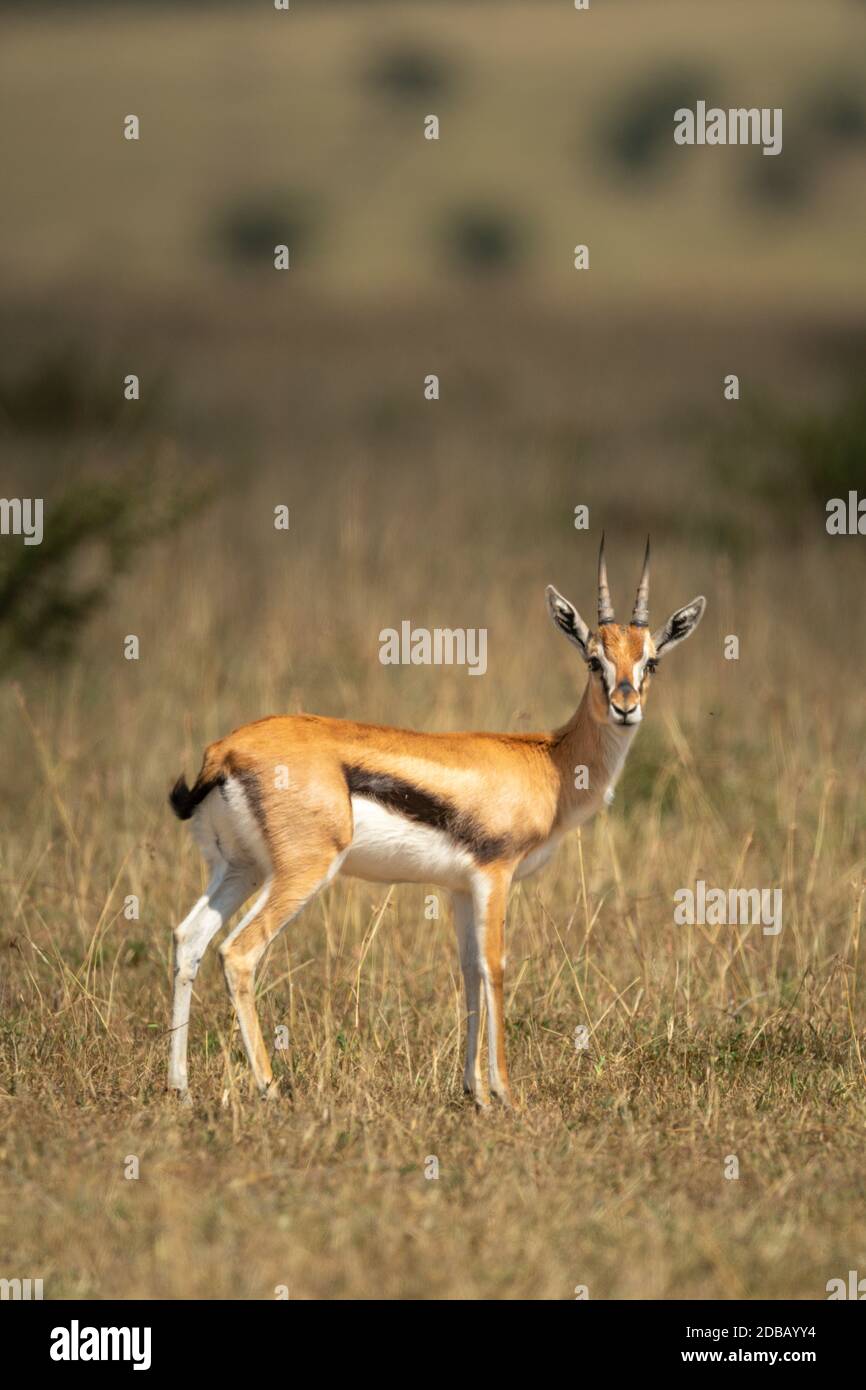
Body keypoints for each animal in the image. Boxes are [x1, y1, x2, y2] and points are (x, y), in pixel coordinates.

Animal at [167, 539, 705, 1107]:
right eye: (593, 659)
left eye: (650, 661)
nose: (626, 706)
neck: (550, 762)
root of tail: (224, 751)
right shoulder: (495, 877)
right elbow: (494, 968)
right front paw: (506, 1093)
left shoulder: (460, 888)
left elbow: (468, 972)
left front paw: (476, 1093)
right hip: (301, 873)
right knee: (237, 953)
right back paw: (269, 1087)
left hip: (239, 869)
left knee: (189, 940)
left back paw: (179, 1087)